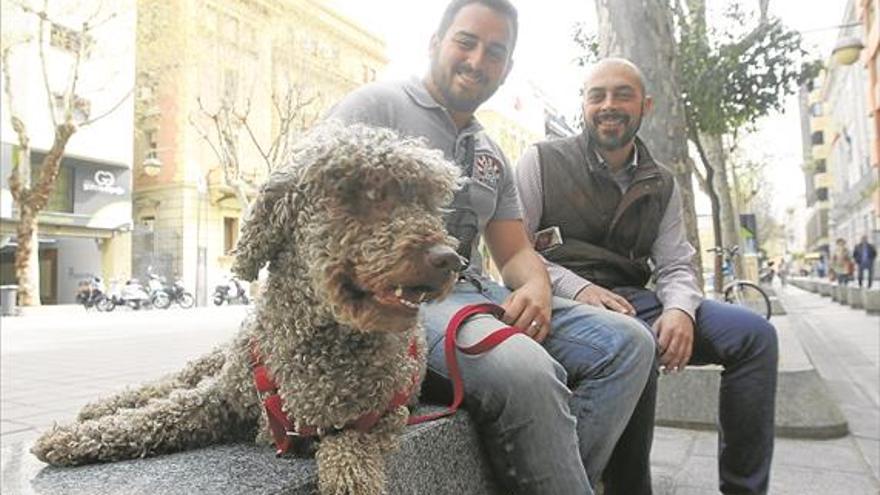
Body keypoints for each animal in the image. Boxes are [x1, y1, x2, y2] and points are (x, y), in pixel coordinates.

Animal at [31, 123, 464, 495]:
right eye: (369, 192)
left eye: (428, 202)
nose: (450, 259)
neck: (315, 346)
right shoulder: (222, 394)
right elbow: (159, 413)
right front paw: (72, 437)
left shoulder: (380, 418)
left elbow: (351, 451)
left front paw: (348, 474)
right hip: (220, 359)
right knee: (168, 383)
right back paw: (101, 406)